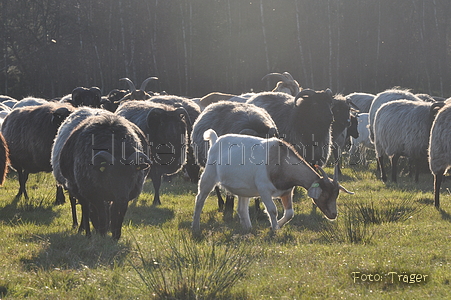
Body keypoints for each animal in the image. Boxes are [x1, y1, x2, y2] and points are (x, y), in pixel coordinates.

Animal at [191, 129, 354, 232]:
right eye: (325, 195)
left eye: (336, 195)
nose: (333, 214)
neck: (279, 160)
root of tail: (215, 141)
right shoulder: (264, 190)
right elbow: (273, 210)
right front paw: (274, 229)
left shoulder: (287, 191)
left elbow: (290, 213)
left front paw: (277, 226)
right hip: (208, 176)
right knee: (199, 199)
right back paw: (195, 227)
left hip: (244, 189)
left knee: (241, 209)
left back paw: (248, 229)